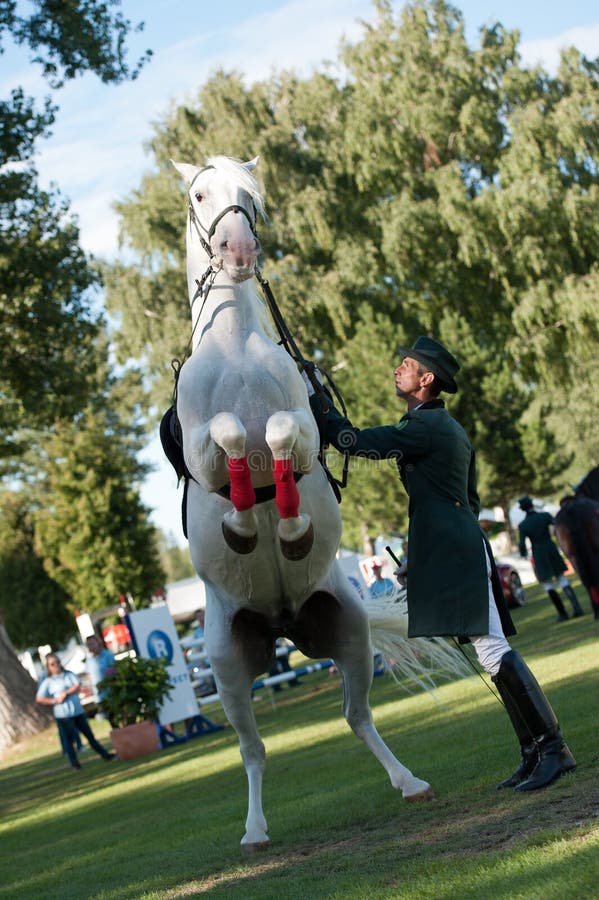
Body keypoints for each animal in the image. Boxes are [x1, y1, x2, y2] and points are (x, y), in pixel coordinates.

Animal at [169, 155, 450, 852]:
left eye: (251, 197)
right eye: (199, 194)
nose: (239, 252)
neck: (234, 347)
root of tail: (282, 623)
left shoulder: (300, 424)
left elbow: (278, 437)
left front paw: (290, 530)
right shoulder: (200, 450)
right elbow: (230, 436)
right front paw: (245, 526)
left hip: (347, 633)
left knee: (356, 716)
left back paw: (410, 782)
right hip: (227, 663)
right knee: (254, 750)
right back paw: (254, 831)